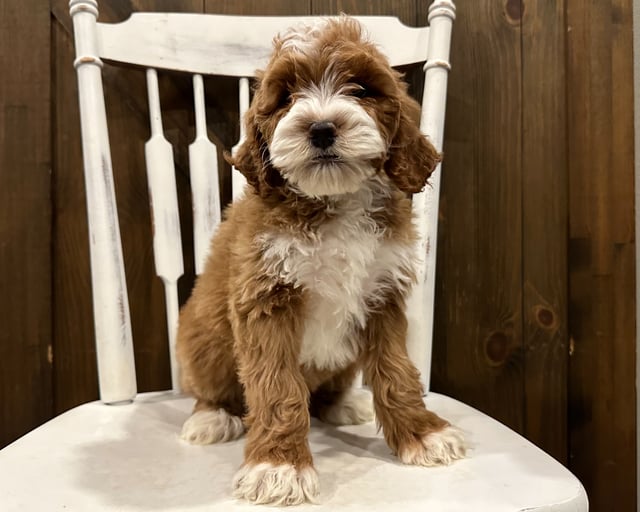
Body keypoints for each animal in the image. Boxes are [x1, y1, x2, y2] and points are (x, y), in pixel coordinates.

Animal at [175, 17, 464, 508]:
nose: (322, 128)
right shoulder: (266, 298)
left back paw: (344, 403)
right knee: (212, 387)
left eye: (361, 90)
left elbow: (396, 371)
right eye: (286, 97)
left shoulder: (382, 296)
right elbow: (276, 387)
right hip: (203, 340)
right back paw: (210, 417)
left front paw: (422, 433)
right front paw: (278, 466)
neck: (333, 200)